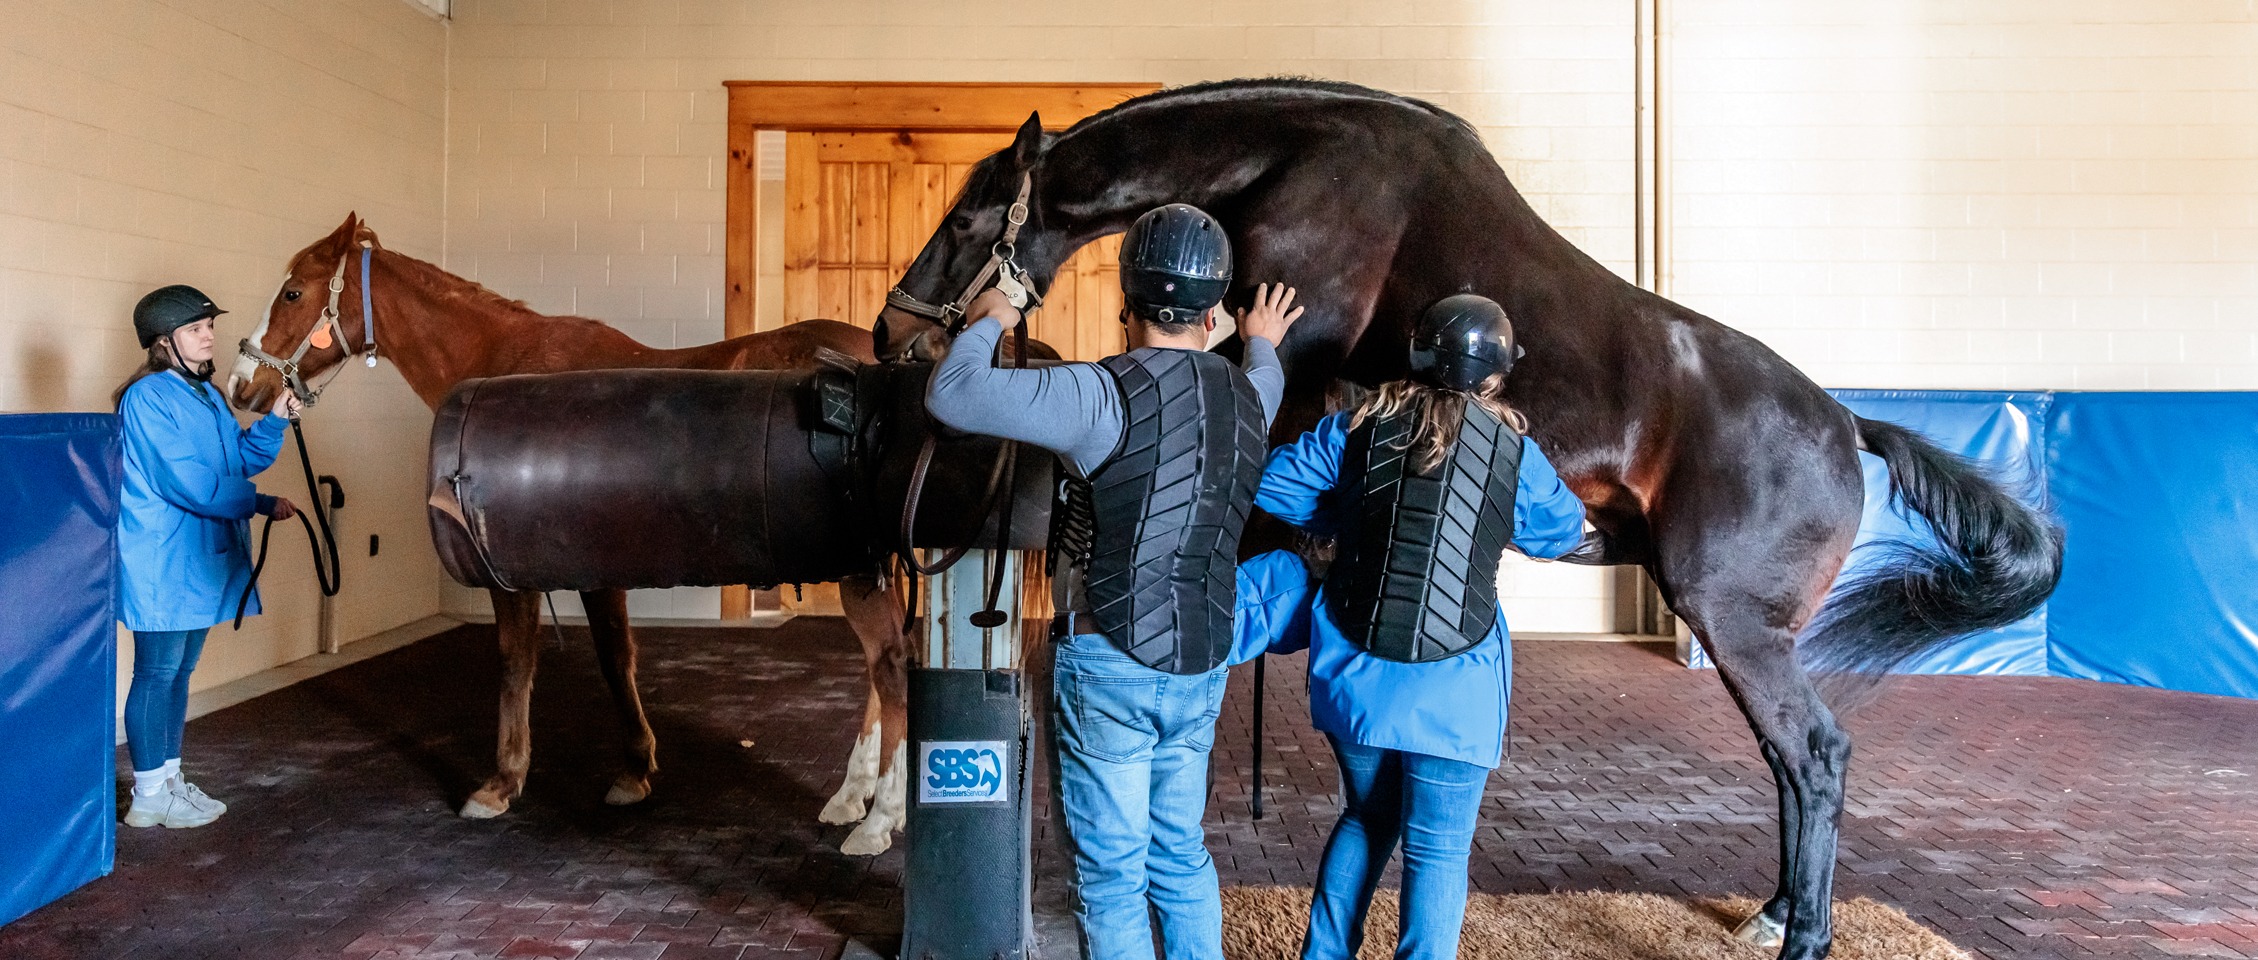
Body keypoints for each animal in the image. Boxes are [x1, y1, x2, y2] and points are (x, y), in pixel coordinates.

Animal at [228, 213, 919, 855]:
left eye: (292, 292)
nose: (240, 383)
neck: (502, 359)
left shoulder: (517, 570)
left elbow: (518, 662)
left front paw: (501, 783)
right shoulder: (595, 569)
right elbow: (616, 659)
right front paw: (636, 769)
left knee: (889, 665)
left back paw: (880, 818)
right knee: (878, 669)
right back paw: (852, 796)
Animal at [874, 80, 2062, 960]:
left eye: (967, 220)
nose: (896, 332)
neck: (1298, 164)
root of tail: (1845, 421)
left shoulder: (1280, 371)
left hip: (1733, 622)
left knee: (1814, 755)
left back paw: (1803, 936)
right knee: (1789, 765)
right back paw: (1770, 912)